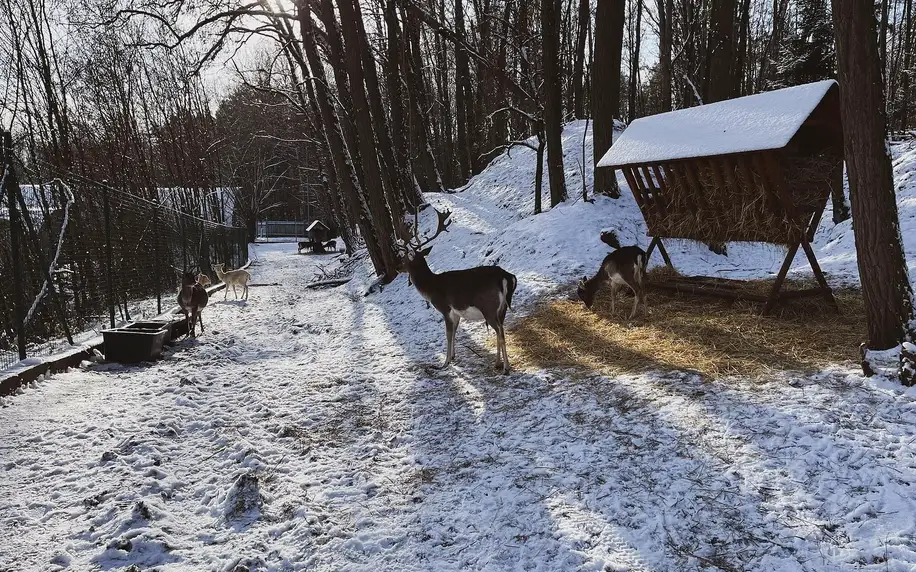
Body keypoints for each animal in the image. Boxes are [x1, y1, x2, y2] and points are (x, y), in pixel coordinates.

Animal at [398, 208, 520, 374]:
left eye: (403, 257)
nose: (398, 268)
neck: (430, 288)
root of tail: (506, 276)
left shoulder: (445, 308)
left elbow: (448, 334)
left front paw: (445, 363)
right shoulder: (456, 313)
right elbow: (455, 332)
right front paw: (453, 356)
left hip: (489, 307)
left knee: (500, 332)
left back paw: (506, 367)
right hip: (503, 308)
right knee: (501, 329)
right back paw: (497, 363)